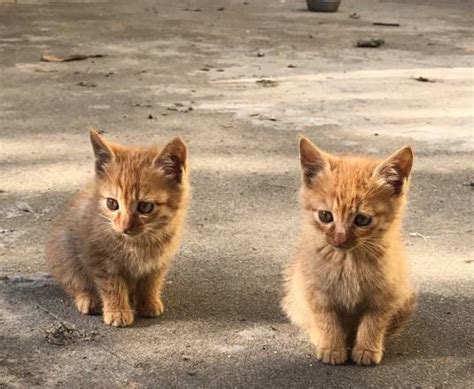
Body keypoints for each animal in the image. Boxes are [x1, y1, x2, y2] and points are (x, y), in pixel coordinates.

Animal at [46, 129, 190, 326]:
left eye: (145, 207)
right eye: (112, 203)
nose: (124, 226)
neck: (138, 243)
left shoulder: (159, 260)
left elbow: (151, 281)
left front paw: (148, 302)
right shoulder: (99, 257)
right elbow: (111, 285)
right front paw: (117, 310)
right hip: (63, 249)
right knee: (74, 280)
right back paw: (88, 298)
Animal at [284, 136, 416, 364]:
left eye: (362, 220)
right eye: (326, 216)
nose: (340, 238)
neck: (347, 261)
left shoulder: (386, 293)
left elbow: (374, 322)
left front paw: (366, 349)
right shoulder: (314, 289)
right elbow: (325, 319)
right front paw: (331, 348)